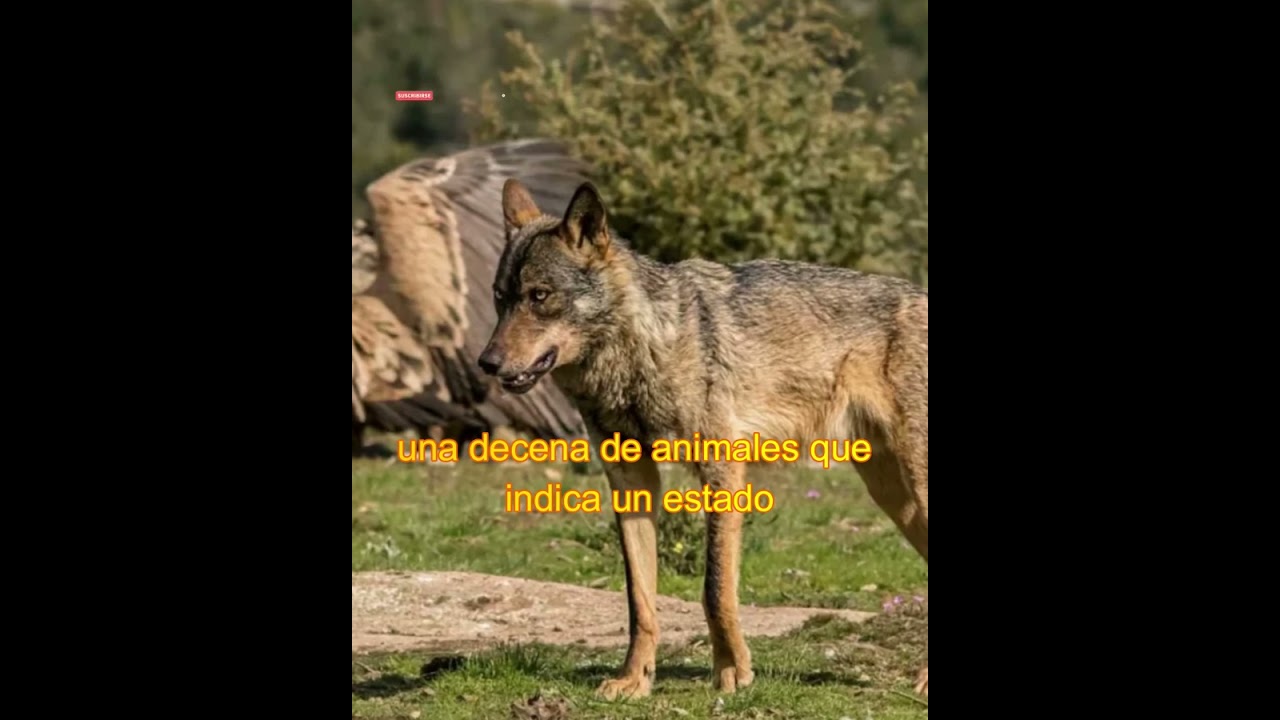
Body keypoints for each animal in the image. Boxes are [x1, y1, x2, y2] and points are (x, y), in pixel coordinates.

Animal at [479, 180, 928, 699]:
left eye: (540, 295)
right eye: (500, 298)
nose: (486, 363)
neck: (647, 350)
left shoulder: (722, 471)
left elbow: (715, 588)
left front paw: (733, 670)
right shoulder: (631, 481)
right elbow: (639, 601)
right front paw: (634, 679)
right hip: (894, 497)